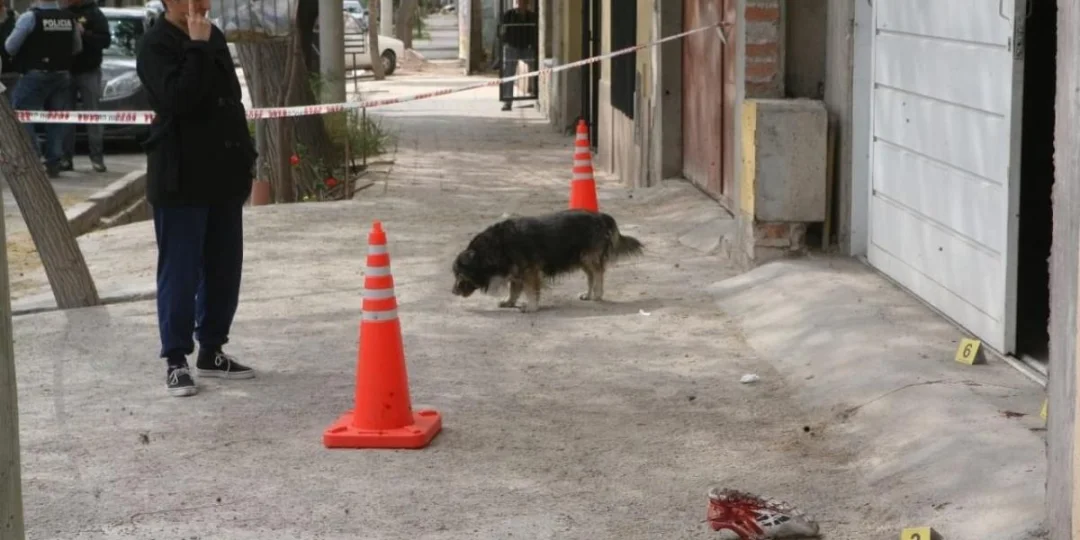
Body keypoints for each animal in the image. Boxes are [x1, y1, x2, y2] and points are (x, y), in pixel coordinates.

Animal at [451, 209, 644, 312]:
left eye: (460, 274)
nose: (452, 292)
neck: (497, 246)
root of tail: (601, 216)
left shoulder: (529, 272)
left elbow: (530, 291)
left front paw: (531, 307)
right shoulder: (516, 272)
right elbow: (514, 290)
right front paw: (509, 302)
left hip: (589, 258)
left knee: (598, 274)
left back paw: (597, 294)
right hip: (581, 259)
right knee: (591, 276)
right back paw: (588, 295)